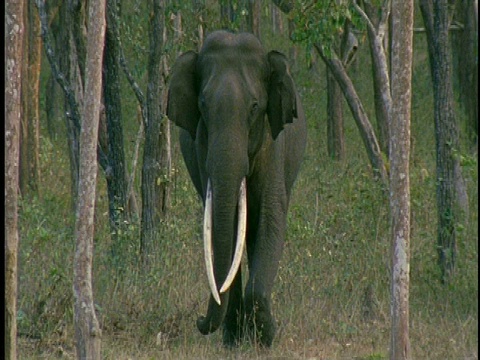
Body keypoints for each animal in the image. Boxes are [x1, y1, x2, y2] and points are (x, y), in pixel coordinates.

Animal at [167, 31, 306, 348]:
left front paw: (266, 338)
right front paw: (239, 339)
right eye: (203, 105)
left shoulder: (273, 144)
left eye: (254, 107)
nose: (198, 321)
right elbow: (225, 230)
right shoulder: (201, 148)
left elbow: (271, 219)